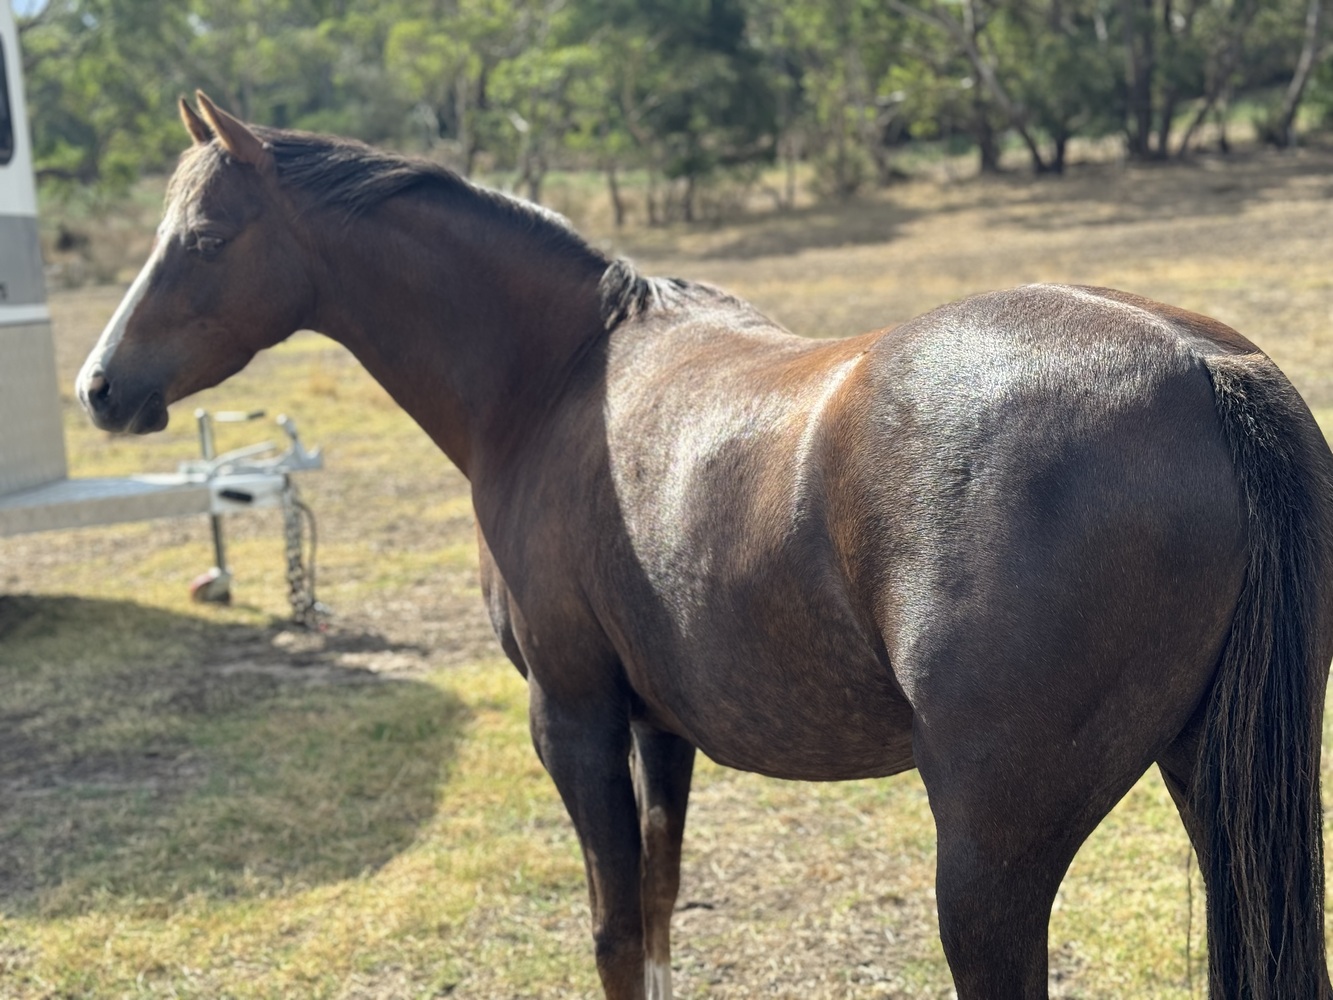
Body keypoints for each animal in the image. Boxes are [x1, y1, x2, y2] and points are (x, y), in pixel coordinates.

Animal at [76, 93, 1333, 1000]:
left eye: (202, 237)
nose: (99, 387)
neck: (559, 374)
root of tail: (1199, 365)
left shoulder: (573, 719)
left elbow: (611, 930)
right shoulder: (659, 727)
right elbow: (659, 912)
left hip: (991, 852)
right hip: (1216, 784)